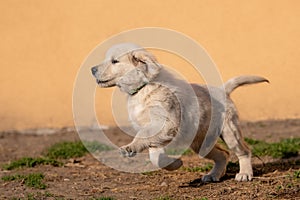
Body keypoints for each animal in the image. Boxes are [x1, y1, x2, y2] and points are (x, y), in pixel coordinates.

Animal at [90, 43, 268, 182]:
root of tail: (222, 90)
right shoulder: (157, 133)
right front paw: (174, 164)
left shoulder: (164, 123)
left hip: (230, 132)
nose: (92, 69)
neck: (143, 87)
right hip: (200, 142)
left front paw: (130, 147)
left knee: (244, 151)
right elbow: (155, 157)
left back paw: (244, 174)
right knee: (223, 154)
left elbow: (142, 136)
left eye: (114, 61)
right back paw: (213, 175)